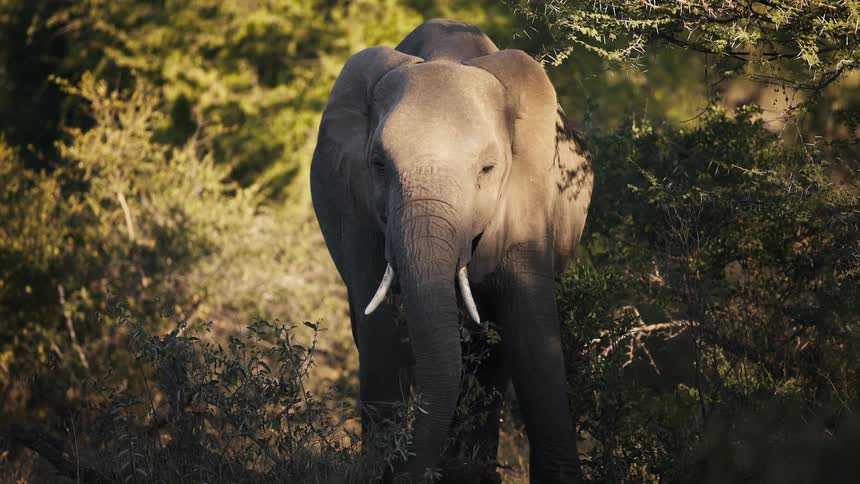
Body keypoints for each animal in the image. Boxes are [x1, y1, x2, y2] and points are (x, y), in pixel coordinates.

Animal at [310, 19, 593, 483]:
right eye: (378, 165)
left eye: (488, 169)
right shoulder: (356, 207)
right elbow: (381, 333)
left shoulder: (529, 196)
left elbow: (531, 328)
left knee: (491, 356)